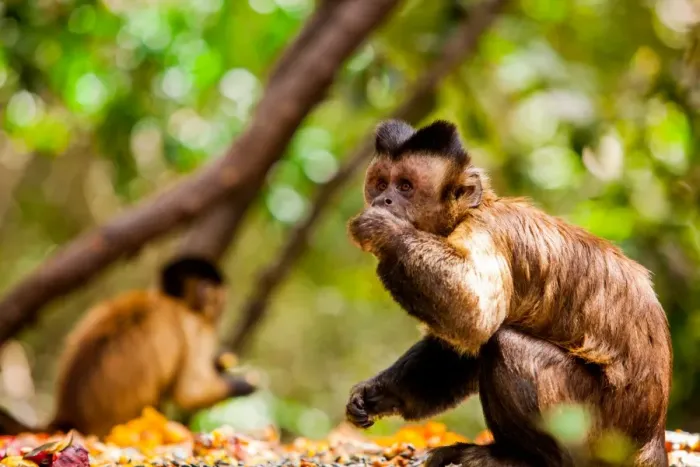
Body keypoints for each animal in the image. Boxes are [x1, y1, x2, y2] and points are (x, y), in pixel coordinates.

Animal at [0, 256, 257, 437]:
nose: (220, 302)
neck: (171, 301)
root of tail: (68, 417)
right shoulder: (193, 325)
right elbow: (189, 392)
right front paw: (244, 384)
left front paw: (221, 361)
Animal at [344, 119, 672, 467]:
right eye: (381, 184)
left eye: (405, 186)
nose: (384, 201)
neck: (468, 213)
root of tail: (652, 439)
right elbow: (458, 345)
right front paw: (376, 394)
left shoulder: (487, 230)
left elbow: (474, 316)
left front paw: (384, 231)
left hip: (602, 434)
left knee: (504, 343)